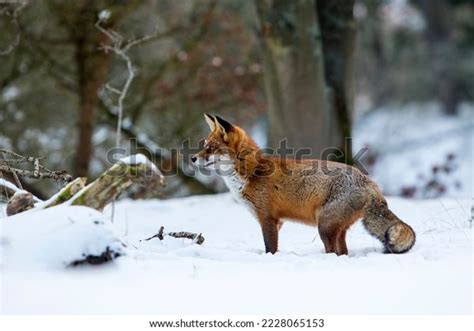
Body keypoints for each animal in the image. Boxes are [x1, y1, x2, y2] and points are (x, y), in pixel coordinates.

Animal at [192, 114, 414, 256]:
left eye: (210, 148)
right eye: (204, 146)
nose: (192, 158)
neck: (252, 172)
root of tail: (371, 183)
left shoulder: (267, 218)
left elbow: (270, 248)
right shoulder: (277, 221)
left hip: (324, 227)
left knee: (333, 252)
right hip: (335, 229)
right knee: (343, 253)